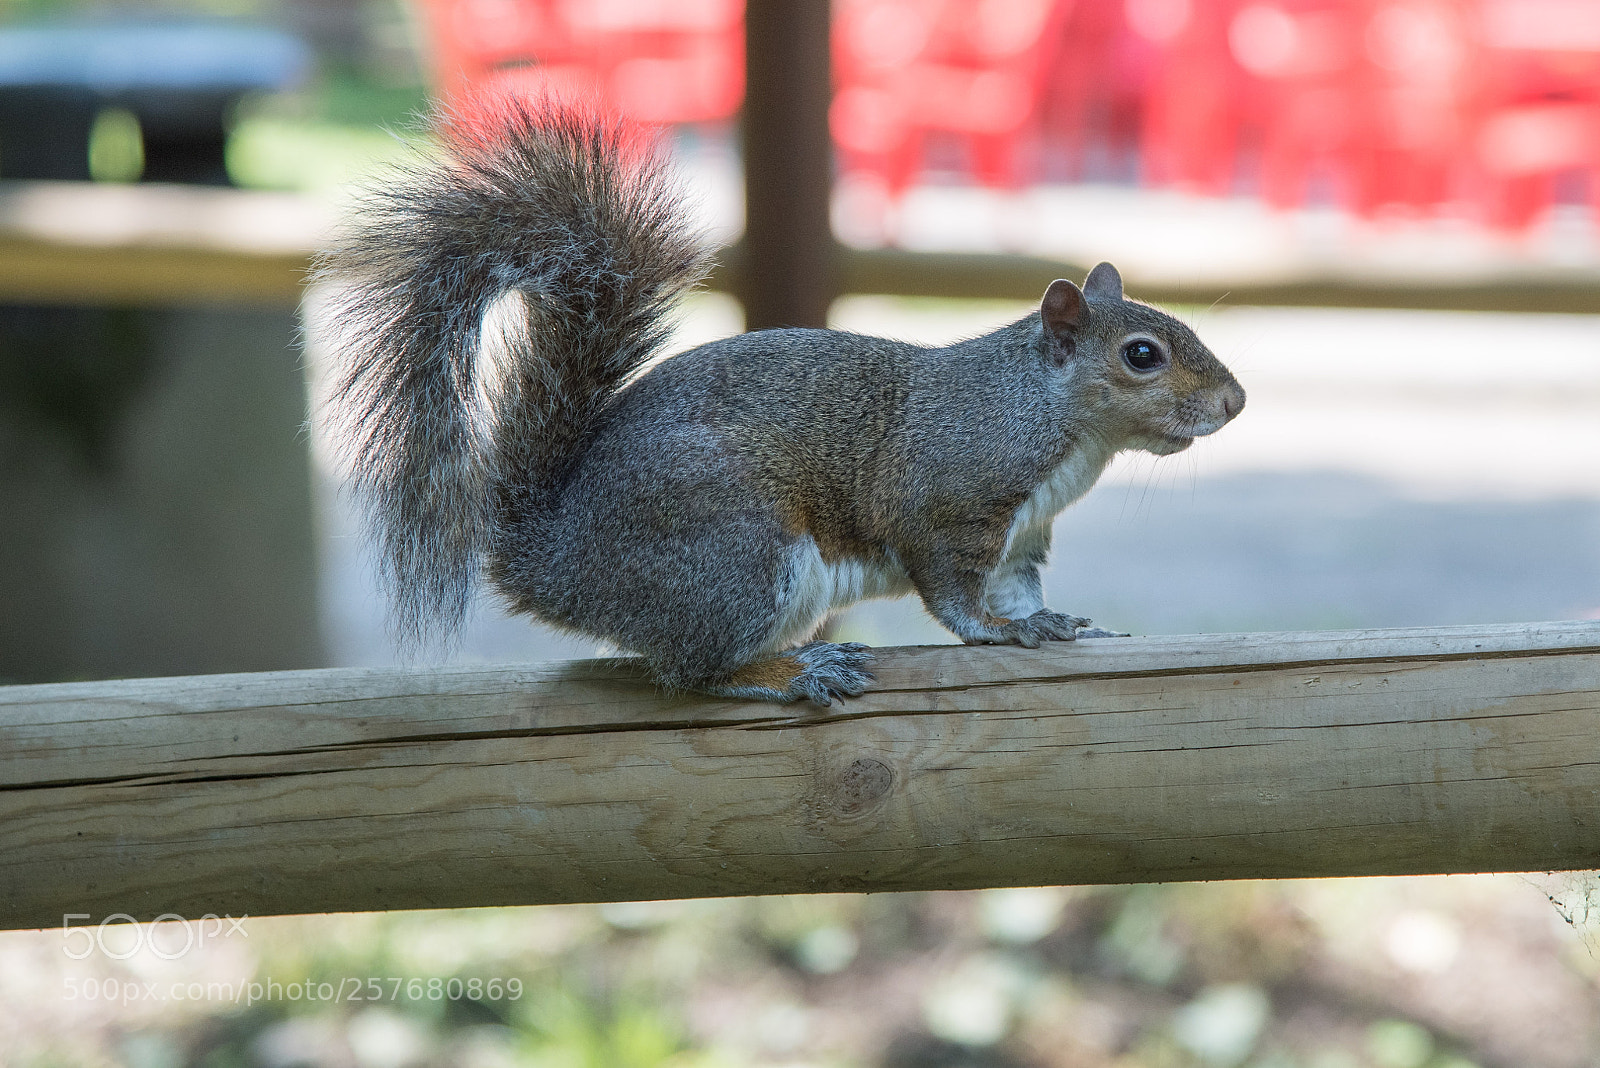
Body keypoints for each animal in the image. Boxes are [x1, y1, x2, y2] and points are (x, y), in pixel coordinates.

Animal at [319, 98, 1246, 706]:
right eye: (1142, 355)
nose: (1235, 403)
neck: (1052, 421)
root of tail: (554, 562)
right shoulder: (949, 500)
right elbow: (955, 595)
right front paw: (999, 633)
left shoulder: (1023, 536)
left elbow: (1017, 590)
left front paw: (1058, 625)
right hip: (737, 551)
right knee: (692, 673)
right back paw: (792, 673)